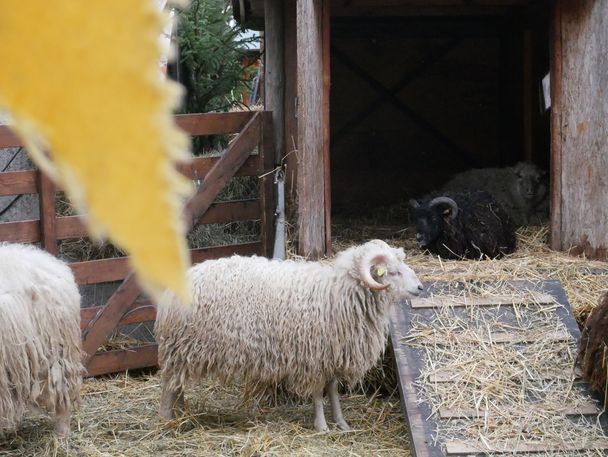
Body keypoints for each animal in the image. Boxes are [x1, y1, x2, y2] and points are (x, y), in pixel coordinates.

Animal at [156, 239, 422, 432]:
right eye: (393, 272)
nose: (420, 288)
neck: (338, 294)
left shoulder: (331, 355)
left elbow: (333, 391)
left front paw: (342, 423)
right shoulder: (315, 357)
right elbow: (318, 394)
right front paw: (322, 426)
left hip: (182, 351)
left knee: (177, 385)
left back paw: (182, 415)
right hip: (180, 347)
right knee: (169, 385)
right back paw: (168, 421)